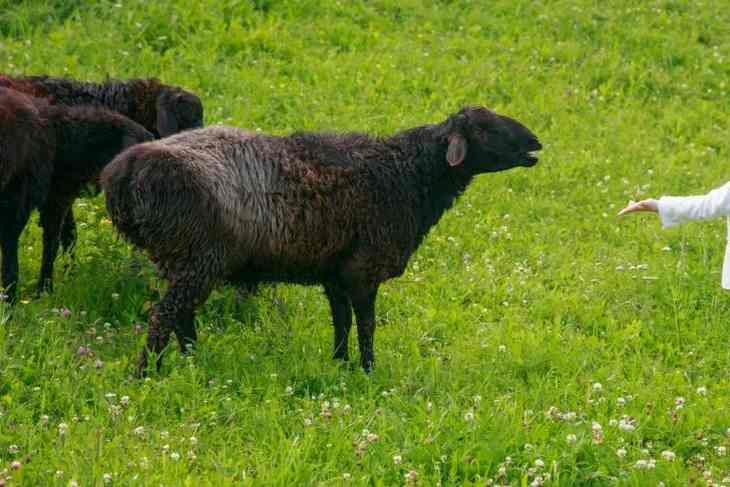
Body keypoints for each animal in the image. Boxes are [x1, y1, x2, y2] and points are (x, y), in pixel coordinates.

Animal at [99, 107, 536, 376]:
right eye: (485, 128)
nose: (535, 143)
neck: (408, 173)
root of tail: (124, 173)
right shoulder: (363, 269)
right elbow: (367, 324)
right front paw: (368, 370)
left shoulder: (335, 272)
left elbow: (341, 321)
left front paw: (340, 365)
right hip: (197, 255)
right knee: (164, 316)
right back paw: (146, 375)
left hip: (179, 259)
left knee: (181, 316)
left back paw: (193, 363)